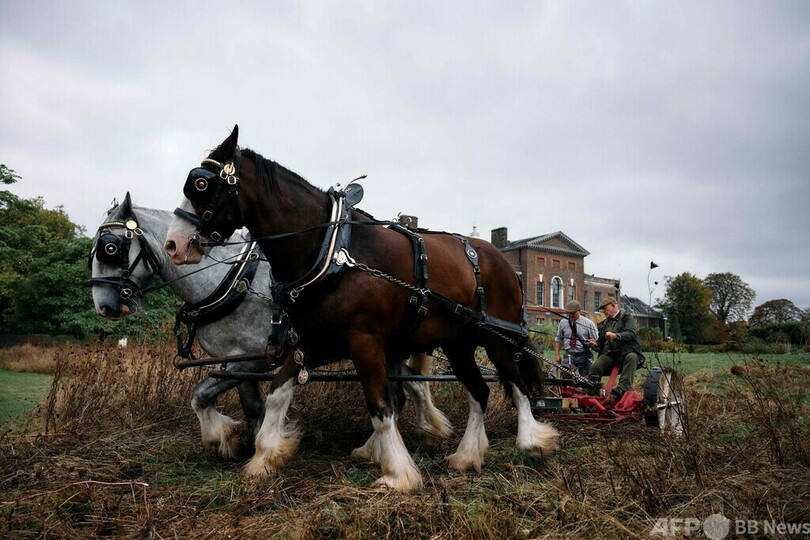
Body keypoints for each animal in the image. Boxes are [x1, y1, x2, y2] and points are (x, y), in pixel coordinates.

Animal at [89, 194, 451, 464]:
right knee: (408, 385)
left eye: (110, 247)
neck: (233, 282)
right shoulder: (236, 361)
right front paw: (250, 444)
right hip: (388, 348)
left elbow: (201, 395)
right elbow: (251, 406)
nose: (103, 307)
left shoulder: (252, 360)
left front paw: (224, 437)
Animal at [164, 125, 558, 491]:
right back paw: (466, 456)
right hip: (457, 344)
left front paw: (397, 473)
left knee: (517, 383)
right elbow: (276, 395)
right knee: (480, 393)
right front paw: (264, 457)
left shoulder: (365, 343)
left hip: (498, 337)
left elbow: (381, 407)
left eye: (200, 184)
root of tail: (501, 261)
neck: (331, 253)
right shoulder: (311, 343)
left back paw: (530, 440)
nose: (173, 244)